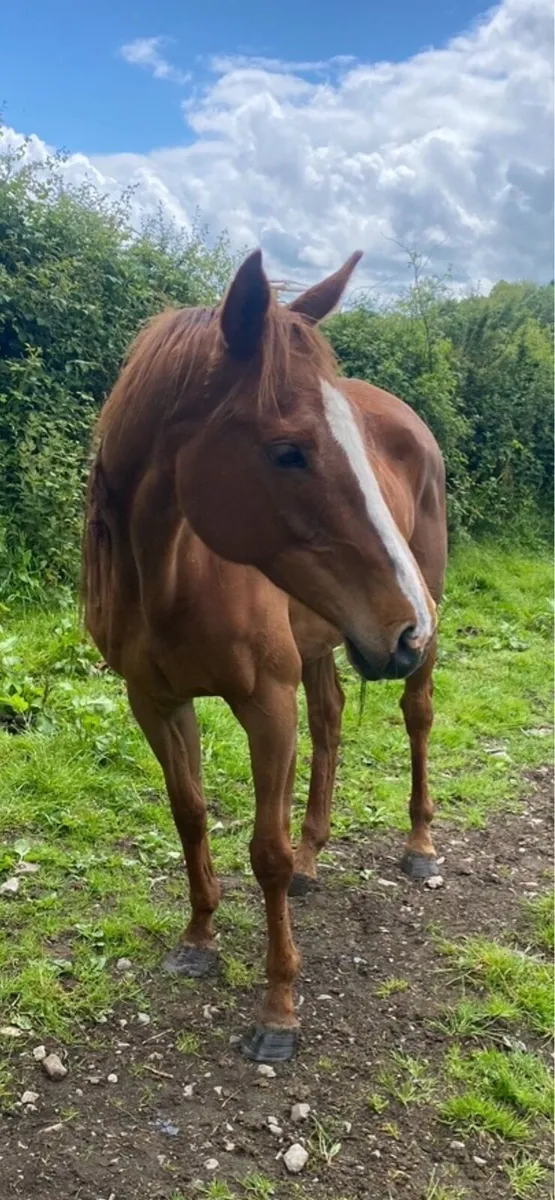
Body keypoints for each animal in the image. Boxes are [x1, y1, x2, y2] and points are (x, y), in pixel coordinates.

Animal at [82, 248, 447, 1063]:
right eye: (288, 452)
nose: (406, 628)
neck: (173, 575)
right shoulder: (154, 702)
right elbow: (189, 815)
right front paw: (198, 938)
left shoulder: (266, 705)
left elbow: (265, 852)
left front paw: (278, 1008)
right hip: (327, 642)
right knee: (332, 719)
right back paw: (317, 855)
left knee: (416, 716)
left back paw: (419, 844)